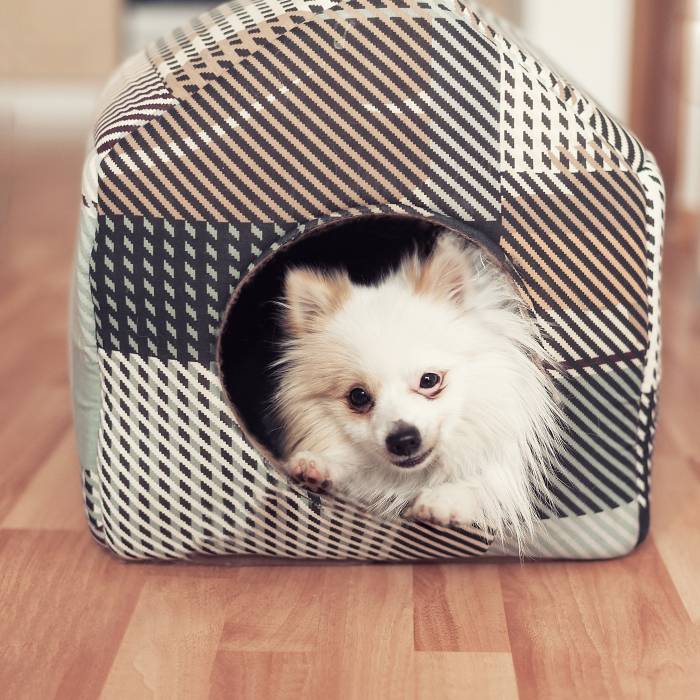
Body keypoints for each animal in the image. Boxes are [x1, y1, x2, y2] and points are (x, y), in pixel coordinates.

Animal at [270, 232, 560, 544]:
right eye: (358, 396)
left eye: (429, 380)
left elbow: (485, 488)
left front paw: (446, 499)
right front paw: (319, 465)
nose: (403, 439)